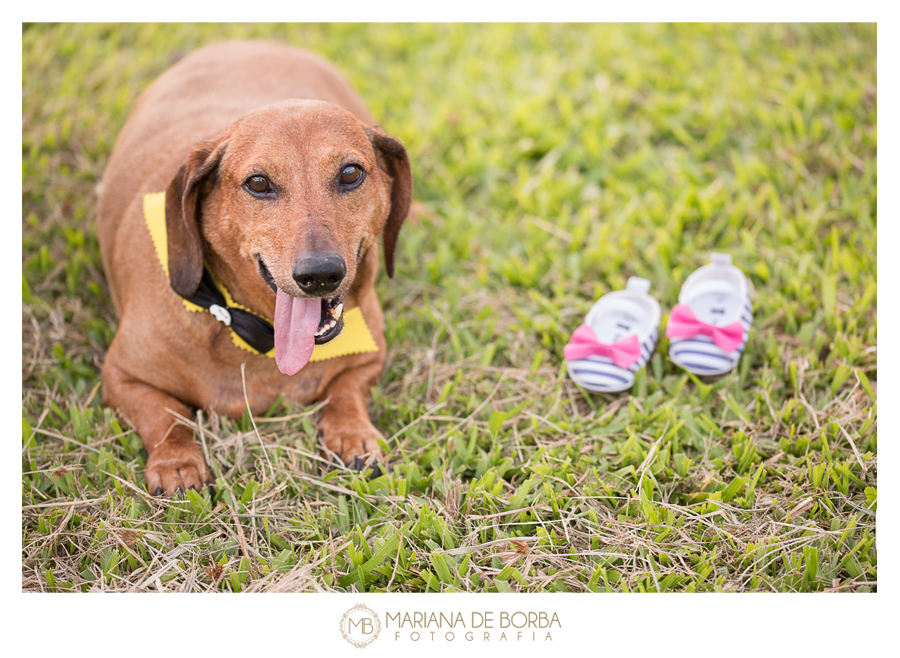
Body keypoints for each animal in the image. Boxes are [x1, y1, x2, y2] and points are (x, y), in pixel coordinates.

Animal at [96, 39, 412, 492]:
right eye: (258, 183)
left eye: (351, 173)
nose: (320, 275)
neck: (252, 331)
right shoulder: (120, 376)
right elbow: (165, 416)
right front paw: (177, 462)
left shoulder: (369, 359)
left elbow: (345, 391)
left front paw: (353, 433)